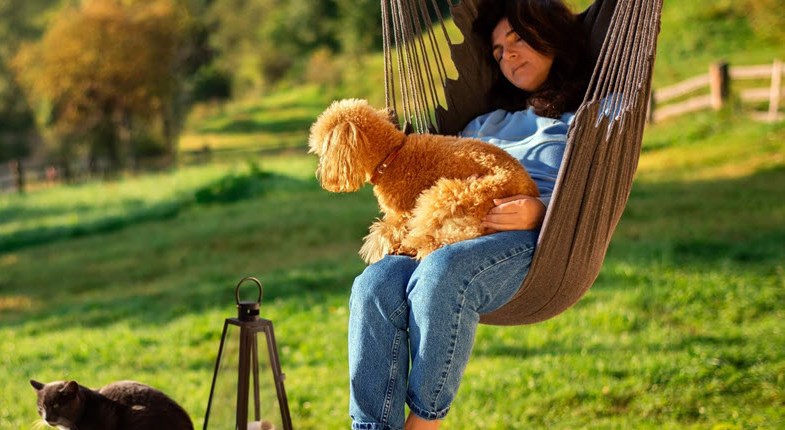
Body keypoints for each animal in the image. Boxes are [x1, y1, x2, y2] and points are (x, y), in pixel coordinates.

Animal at [306, 99, 540, 264]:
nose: (321, 174)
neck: (392, 155)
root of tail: (531, 190)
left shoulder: (402, 213)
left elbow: (388, 229)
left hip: (448, 193)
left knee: (433, 238)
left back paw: (409, 247)